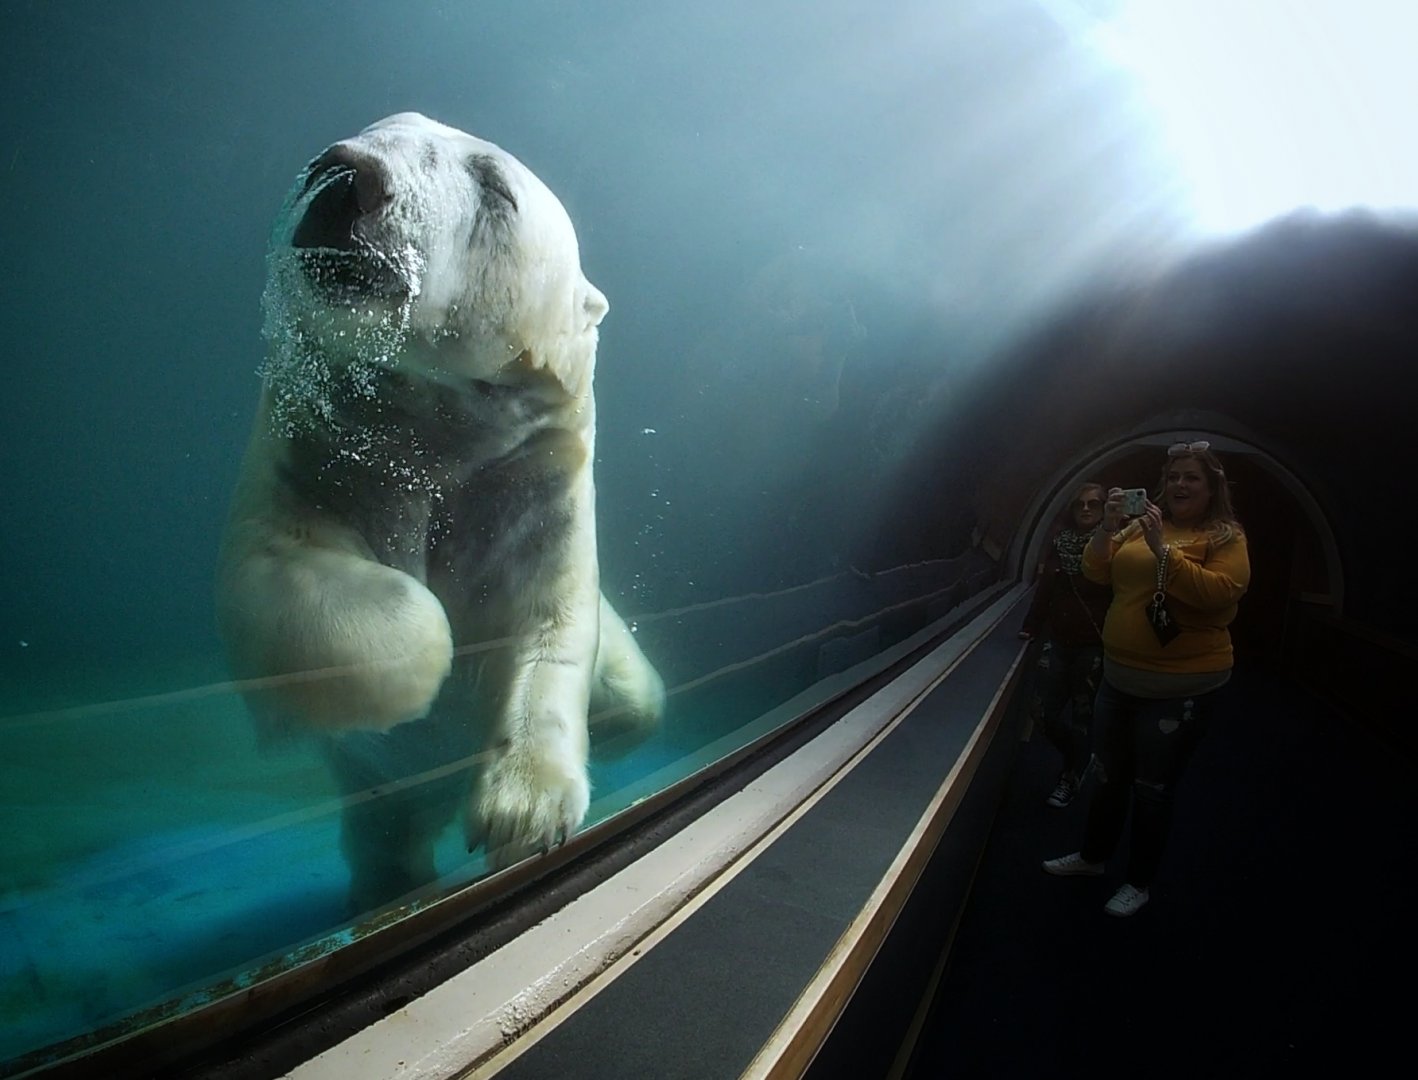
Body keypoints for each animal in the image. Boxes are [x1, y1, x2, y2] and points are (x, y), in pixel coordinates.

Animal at [216, 112, 665, 909]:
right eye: (379, 124)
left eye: (494, 186)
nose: (346, 176)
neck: (436, 427)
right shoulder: (310, 447)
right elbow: (274, 573)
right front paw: (426, 671)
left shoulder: (538, 478)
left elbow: (552, 623)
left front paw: (526, 808)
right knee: (384, 834)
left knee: (635, 695)